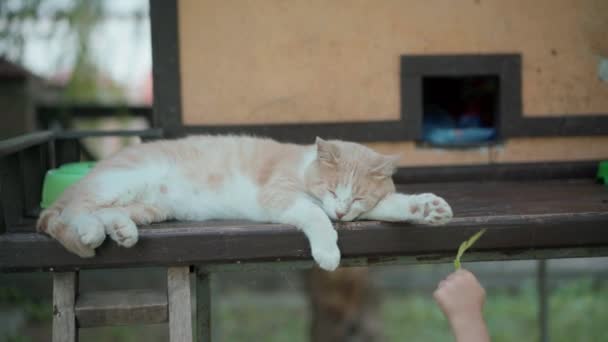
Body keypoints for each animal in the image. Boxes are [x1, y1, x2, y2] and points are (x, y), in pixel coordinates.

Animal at [36, 135, 452, 272]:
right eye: (333, 191)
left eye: (357, 197)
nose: (340, 210)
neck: (304, 167)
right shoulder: (280, 194)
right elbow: (314, 215)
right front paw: (328, 251)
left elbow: (390, 205)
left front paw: (426, 209)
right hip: (121, 182)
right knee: (75, 212)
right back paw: (91, 231)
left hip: (148, 206)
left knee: (105, 212)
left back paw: (122, 230)